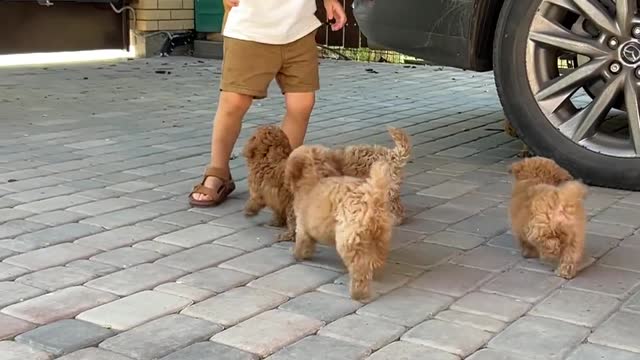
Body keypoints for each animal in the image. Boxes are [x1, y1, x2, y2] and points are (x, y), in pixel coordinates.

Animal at [286, 145, 396, 300]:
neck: (317, 172)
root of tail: (373, 197)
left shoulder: (302, 226)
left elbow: (302, 243)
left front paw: (297, 254)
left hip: (349, 237)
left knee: (359, 268)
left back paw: (358, 293)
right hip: (381, 236)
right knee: (376, 259)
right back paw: (375, 273)